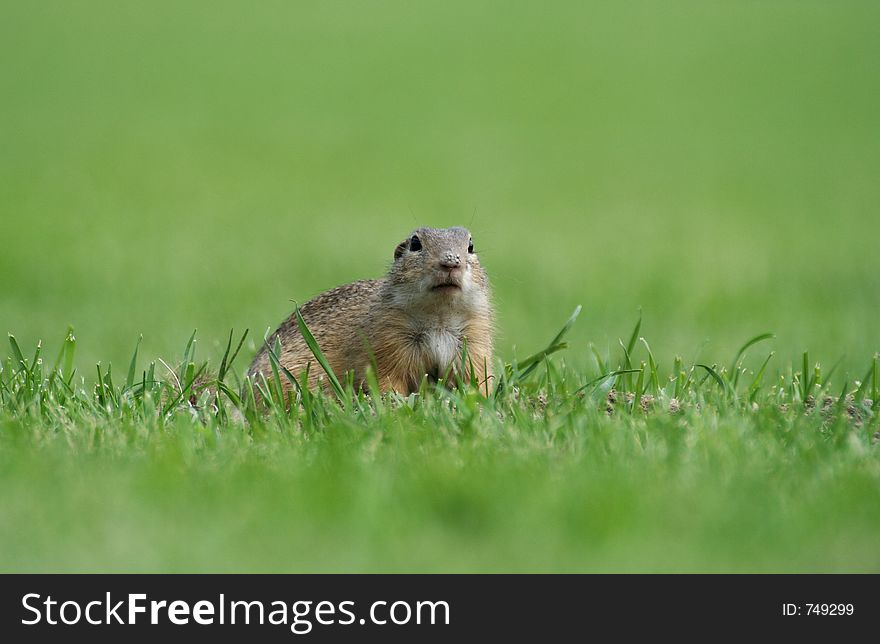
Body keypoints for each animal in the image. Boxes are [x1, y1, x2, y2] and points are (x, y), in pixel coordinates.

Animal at [249, 226, 496, 398]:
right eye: (415, 243)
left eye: (470, 246)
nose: (451, 261)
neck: (439, 317)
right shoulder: (387, 342)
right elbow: (386, 378)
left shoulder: (474, 341)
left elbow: (477, 378)